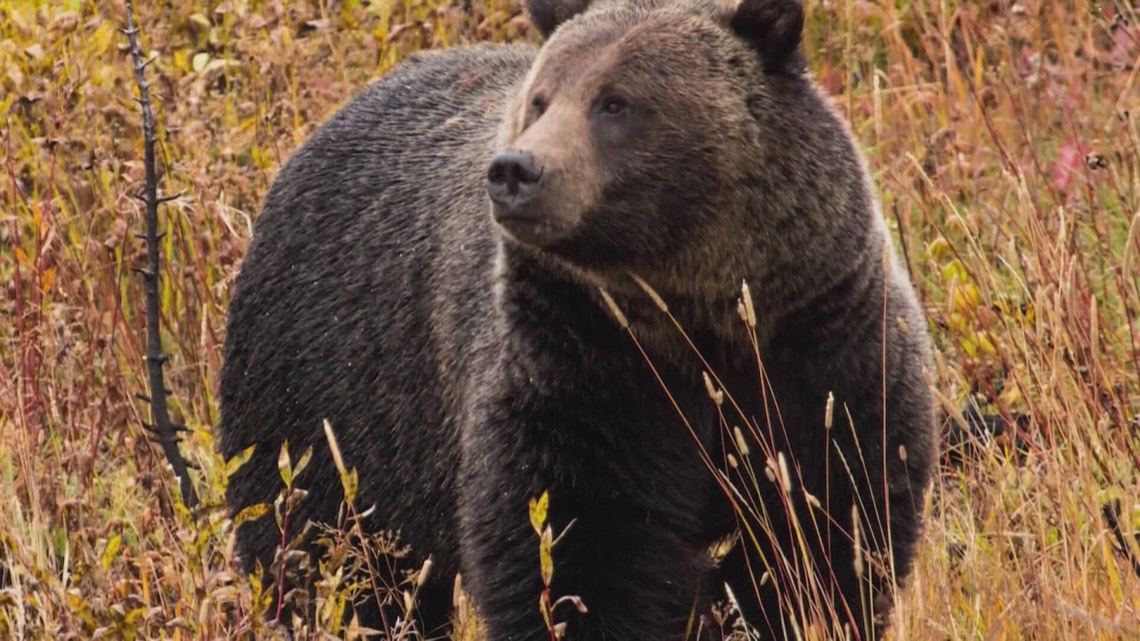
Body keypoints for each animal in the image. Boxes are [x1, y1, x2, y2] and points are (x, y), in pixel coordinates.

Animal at [216, 0, 938, 638]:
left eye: (615, 102)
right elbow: (574, 548)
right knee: (330, 556)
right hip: (327, 392)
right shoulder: (579, 368)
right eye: (541, 99)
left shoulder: (820, 346)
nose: (515, 170)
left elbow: (829, 523)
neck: (695, 317)